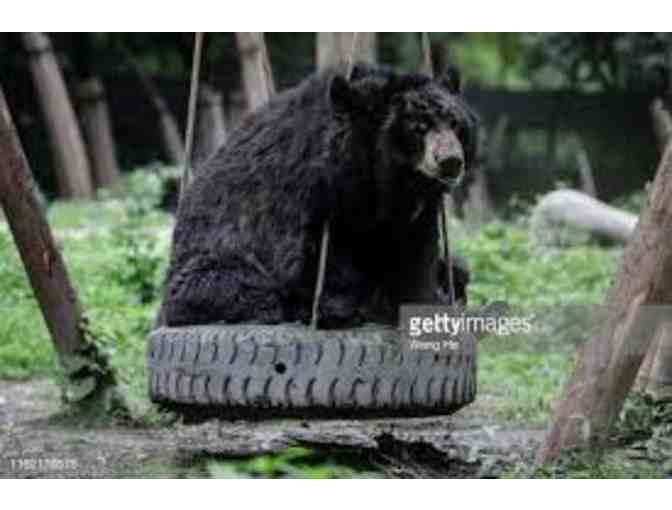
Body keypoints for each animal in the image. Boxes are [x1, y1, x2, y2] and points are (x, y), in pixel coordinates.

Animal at [159, 63, 478, 329]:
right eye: (418, 127)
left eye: (455, 123)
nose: (450, 161)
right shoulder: (311, 191)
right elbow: (309, 258)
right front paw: (339, 306)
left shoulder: (412, 214)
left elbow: (416, 254)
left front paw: (425, 300)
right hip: (208, 266)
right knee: (239, 286)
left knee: (459, 266)